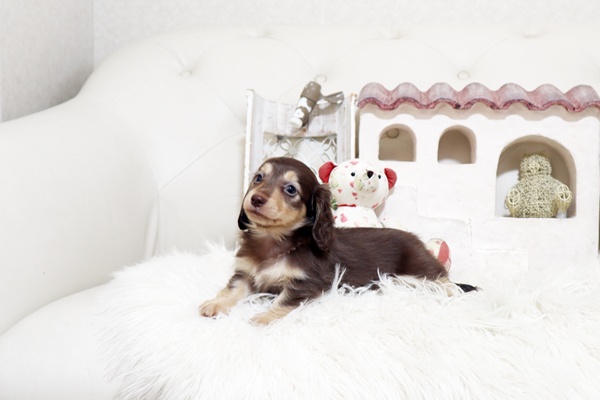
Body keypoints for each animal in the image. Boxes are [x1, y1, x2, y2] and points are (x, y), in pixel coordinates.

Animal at [199, 157, 476, 325]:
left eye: (291, 189)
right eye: (258, 178)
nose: (255, 199)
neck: (274, 241)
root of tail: (416, 239)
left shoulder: (307, 283)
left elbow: (283, 300)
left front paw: (265, 317)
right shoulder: (245, 274)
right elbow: (233, 290)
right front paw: (215, 304)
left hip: (419, 270)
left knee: (441, 278)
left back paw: (450, 290)